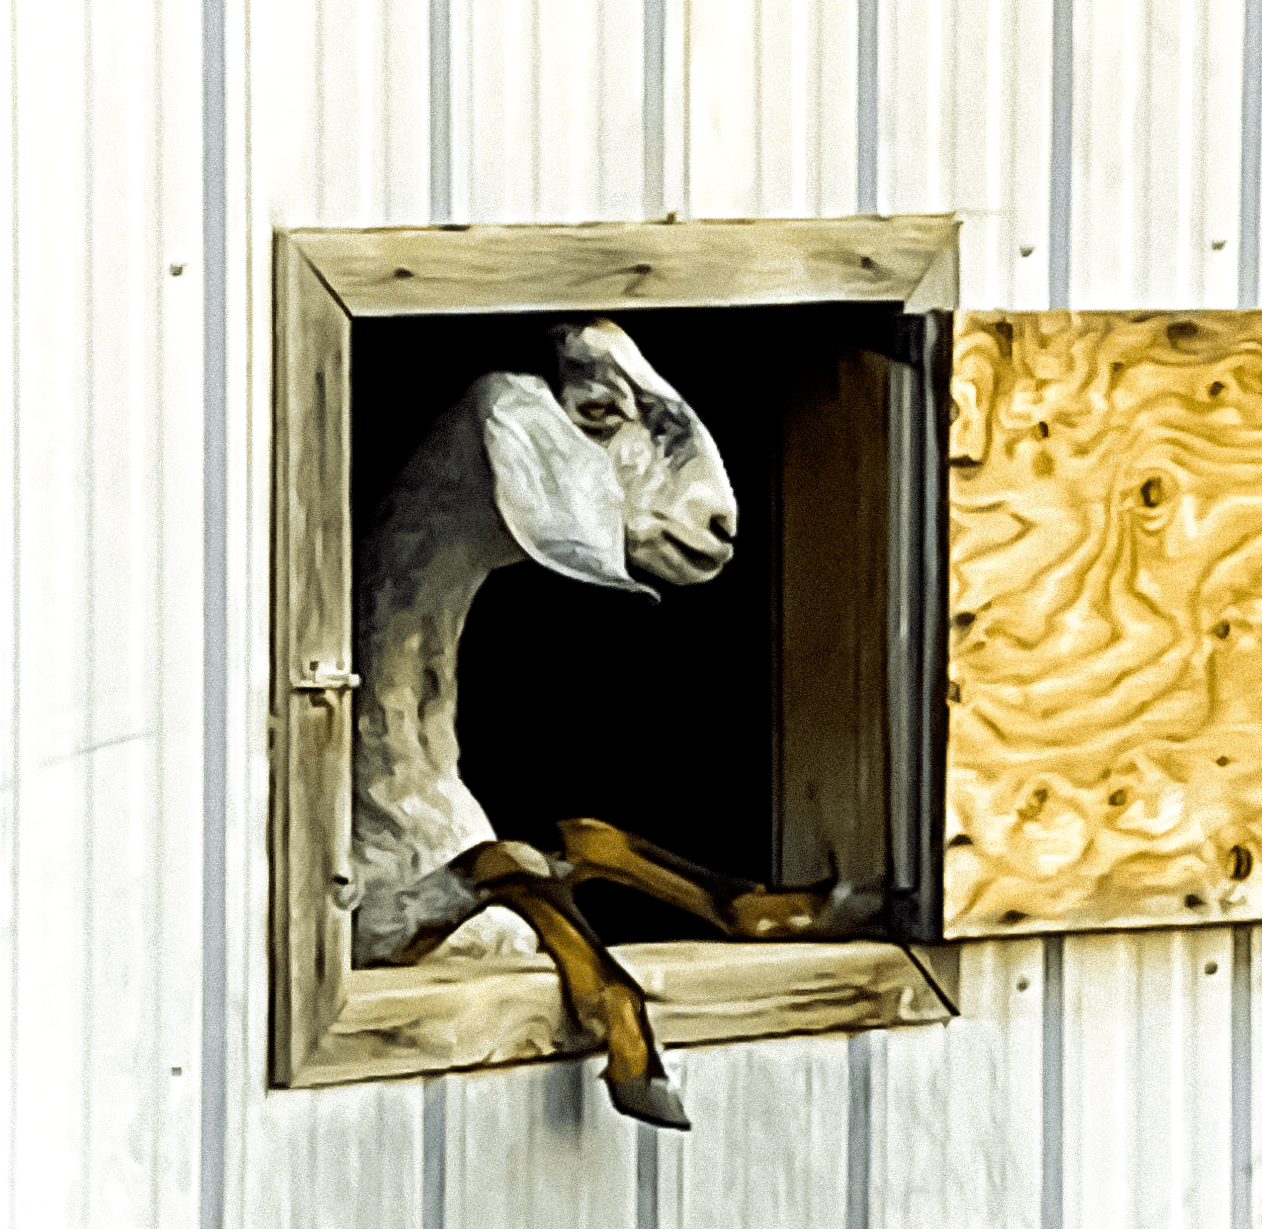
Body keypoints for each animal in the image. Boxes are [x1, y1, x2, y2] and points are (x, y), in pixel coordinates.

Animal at [350, 318, 882, 1128]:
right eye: (598, 408)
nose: (721, 527)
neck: (396, 785)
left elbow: (574, 836)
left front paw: (825, 901)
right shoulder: (365, 931)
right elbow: (515, 857)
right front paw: (643, 1063)